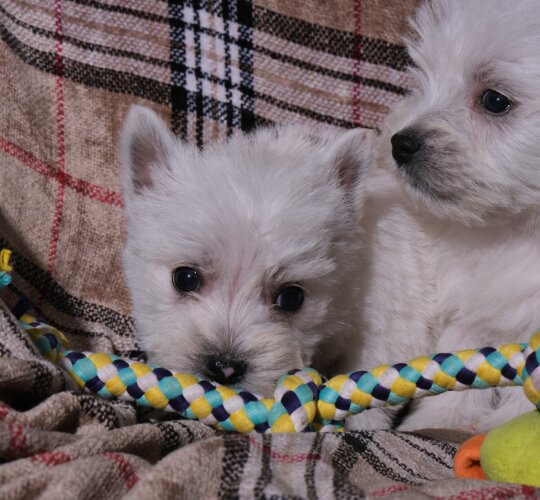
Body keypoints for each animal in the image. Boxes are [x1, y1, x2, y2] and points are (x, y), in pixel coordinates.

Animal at [350, 0, 540, 432]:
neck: (525, 231)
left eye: (495, 100)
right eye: (423, 78)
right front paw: (440, 419)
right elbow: (463, 360)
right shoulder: (477, 303)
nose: (399, 143)